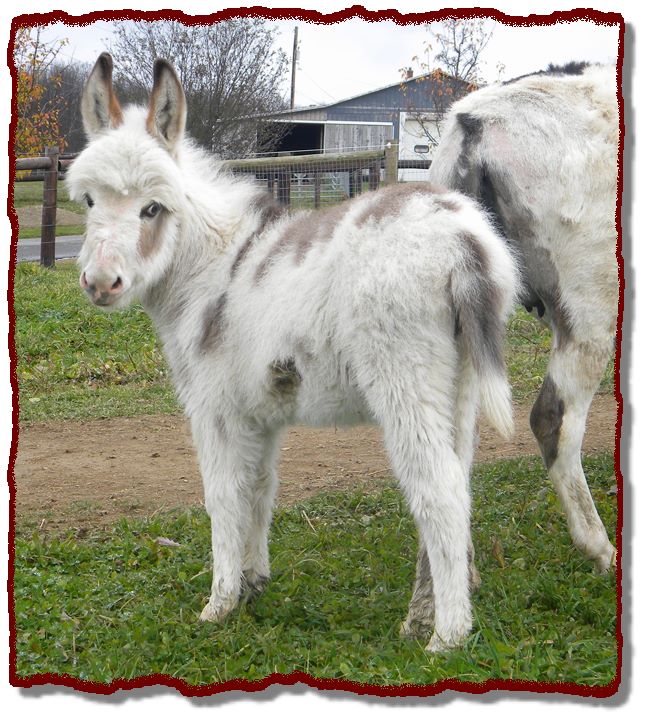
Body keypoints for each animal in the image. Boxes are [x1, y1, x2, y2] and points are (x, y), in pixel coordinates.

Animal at [67, 53, 519, 652]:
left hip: (404, 379)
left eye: (152, 208)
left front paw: (218, 604)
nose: (101, 284)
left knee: (439, 490)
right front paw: (252, 584)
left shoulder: (213, 410)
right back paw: (422, 616)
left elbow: (222, 497)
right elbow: (258, 490)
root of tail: (465, 239)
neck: (208, 265)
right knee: (460, 484)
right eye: (90, 201)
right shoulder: (261, 414)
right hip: (459, 384)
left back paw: (447, 636)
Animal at [399, 63, 619, 639]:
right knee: (552, 419)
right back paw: (599, 548)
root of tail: (476, 121)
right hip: (591, 307)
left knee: (451, 448)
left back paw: (434, 599)